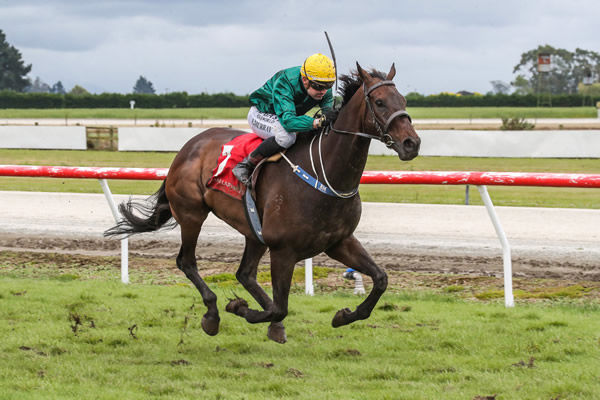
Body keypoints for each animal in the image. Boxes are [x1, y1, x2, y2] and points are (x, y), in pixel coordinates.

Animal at [104, 63, 422, 344]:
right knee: (187, 261)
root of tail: (188, 146)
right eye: (379, 102)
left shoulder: (339, 241)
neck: (325, 173)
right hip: (192, 213)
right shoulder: (284, 250)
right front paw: (239, 308)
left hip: (252, 230)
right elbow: (280, 307)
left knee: (244, 273)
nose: (412, 144)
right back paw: (213, 314)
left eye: (404, 100)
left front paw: (343, 315)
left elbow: (381, 278)